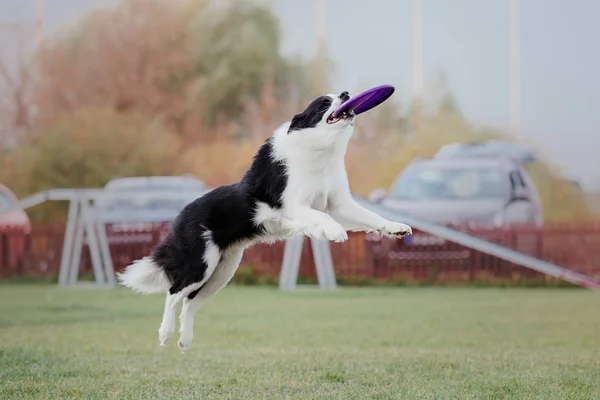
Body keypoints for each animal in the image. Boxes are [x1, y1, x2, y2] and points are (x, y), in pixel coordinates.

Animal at [119, 91, 414, 354]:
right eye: (323, 102)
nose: (346, 94)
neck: (321, 151)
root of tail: (181, 215)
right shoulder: (293, 205)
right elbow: (322, 216)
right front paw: (334, 231)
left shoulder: (339, 203)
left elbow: (370, 216)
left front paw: (396, 228)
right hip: (200, 264)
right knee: (173, 293)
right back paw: (165, 334)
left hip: (222, 272)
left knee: (190, 302)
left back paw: (185, 340)